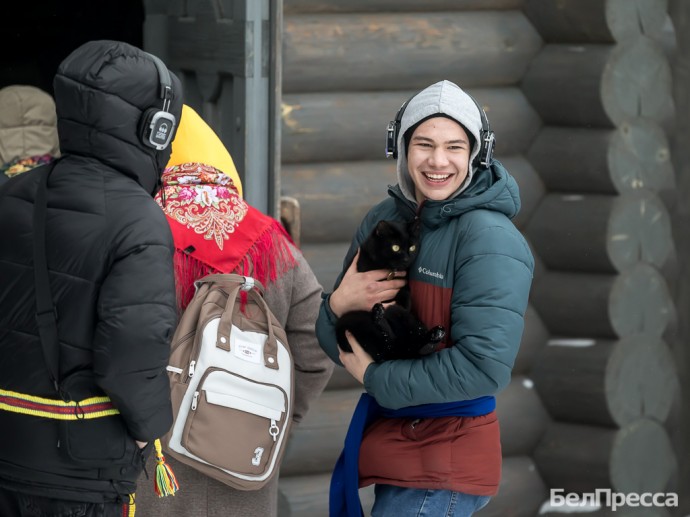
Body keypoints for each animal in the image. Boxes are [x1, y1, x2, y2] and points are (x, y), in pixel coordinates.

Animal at [334, 220, 446, 360]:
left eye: (412, 247)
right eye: (395, 247)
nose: (406, 258)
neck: (390, 271)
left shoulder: (403, 284)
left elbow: (405, 295)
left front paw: (403, 303)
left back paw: (434, 336)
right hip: (353, 319)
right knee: (388, 344)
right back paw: (378, 314)